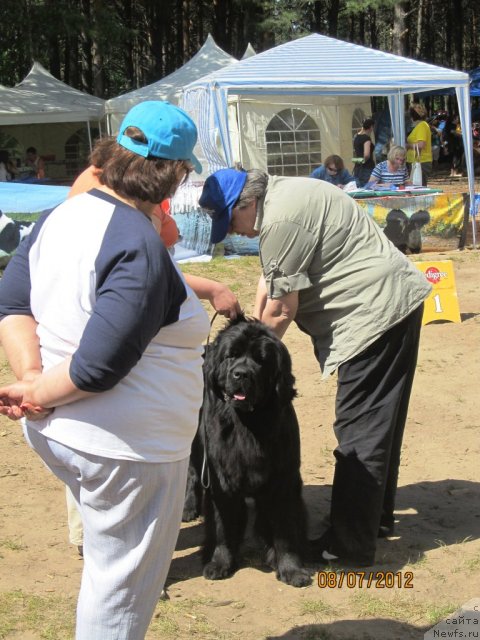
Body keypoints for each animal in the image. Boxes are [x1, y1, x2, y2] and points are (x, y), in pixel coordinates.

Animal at [184, 312, 312, 588]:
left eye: (261, 360)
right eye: (231, 356)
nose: (241, 374)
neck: (249, 424)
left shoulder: (283, 479)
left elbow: (285, 529)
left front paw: (291, 569)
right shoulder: (222, 479)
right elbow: (223, 527)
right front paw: (219, 563)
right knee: (191, 471)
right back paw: (189, 507)